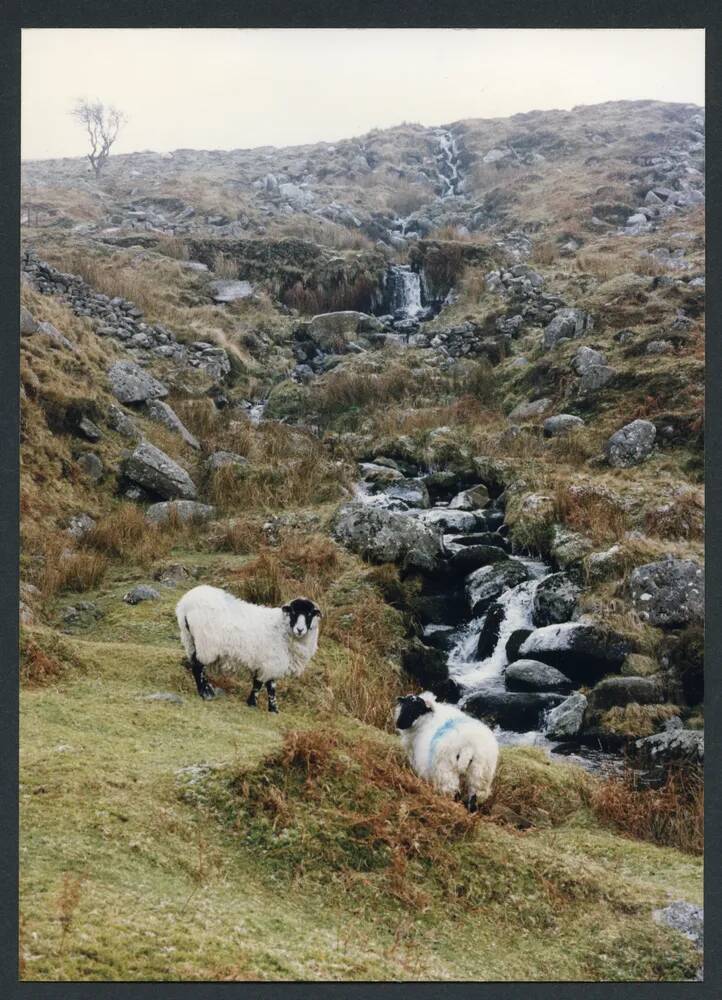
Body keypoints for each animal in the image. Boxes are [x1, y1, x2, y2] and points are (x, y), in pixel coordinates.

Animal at [174, 584, 320, 712]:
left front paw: (258, 705)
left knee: (196, 664)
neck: (282, 628)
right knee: (198, 667)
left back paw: (207, 689)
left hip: (190, 640)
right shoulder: (271, 662)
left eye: (310, 614)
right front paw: (267, 707)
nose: (300, 630)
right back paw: (205, 693)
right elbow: (267, 687)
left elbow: (260, 683)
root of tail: (185, 604)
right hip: (206, 644)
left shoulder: (265, 663)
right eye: (294, 612)